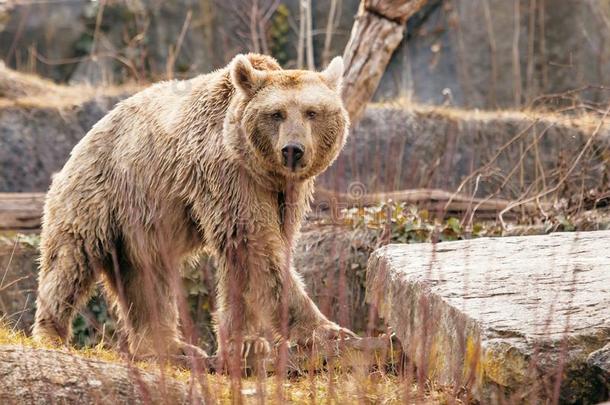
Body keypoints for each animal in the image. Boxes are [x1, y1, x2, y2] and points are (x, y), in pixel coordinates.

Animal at [33, 52, 354, 360]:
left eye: (312, 112)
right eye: (277, 113)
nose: (292, 150)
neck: (260, 168)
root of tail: (82, 141)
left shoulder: (286, 193)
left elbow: (258, 254)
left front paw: (246, 343)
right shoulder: (226, 174)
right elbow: (255, 244)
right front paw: (327, 331)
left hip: (140, 225)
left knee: (147, 278)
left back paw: (169, 346)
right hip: (99, 195)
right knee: (70, 260)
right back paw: (52, 334)